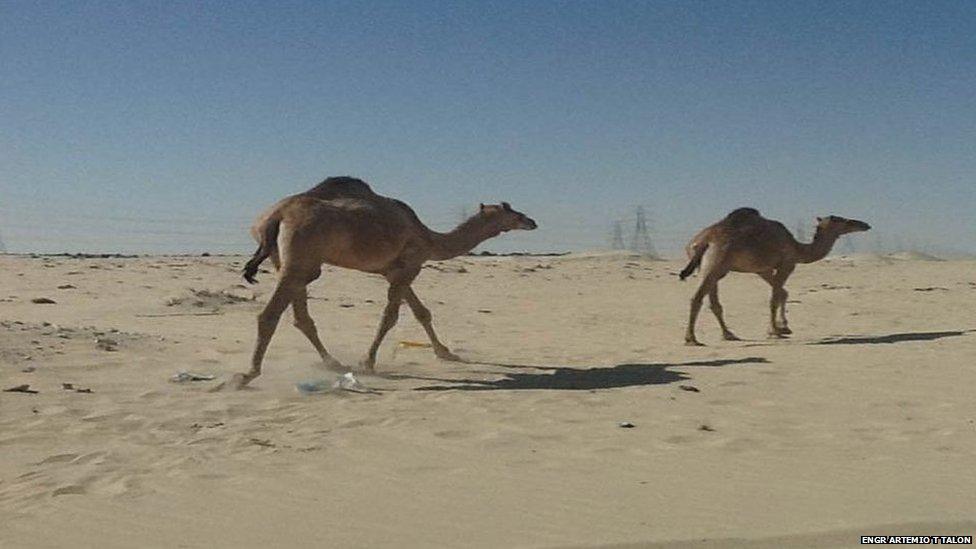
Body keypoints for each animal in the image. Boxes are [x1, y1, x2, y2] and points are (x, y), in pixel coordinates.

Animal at [226, 176, 536, 386]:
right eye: (513, 211)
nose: (532, 222)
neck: (429, 238)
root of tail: (275, 217)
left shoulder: (395, 270)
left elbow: (422, 312)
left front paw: (447, 353)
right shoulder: (409, 266)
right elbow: (391, 316)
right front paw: (367, 362)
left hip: (289, 261)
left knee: (301, 316)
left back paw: (332, 362)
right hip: (300, 258)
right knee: (269, 315)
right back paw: (247, 375)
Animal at [680, 208, 868, 344]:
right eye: (843, 220)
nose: (864, 224)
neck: (798, 248)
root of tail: (702, 241)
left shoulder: (763, 269)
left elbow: (782, 293)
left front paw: (784, 327)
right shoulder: (788, 264)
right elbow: (774, 297)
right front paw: (774, 331)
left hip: (711, 268)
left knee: (714, 302)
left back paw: (728, 334)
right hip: (715, 263)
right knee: (697, 298)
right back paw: (691, 339)